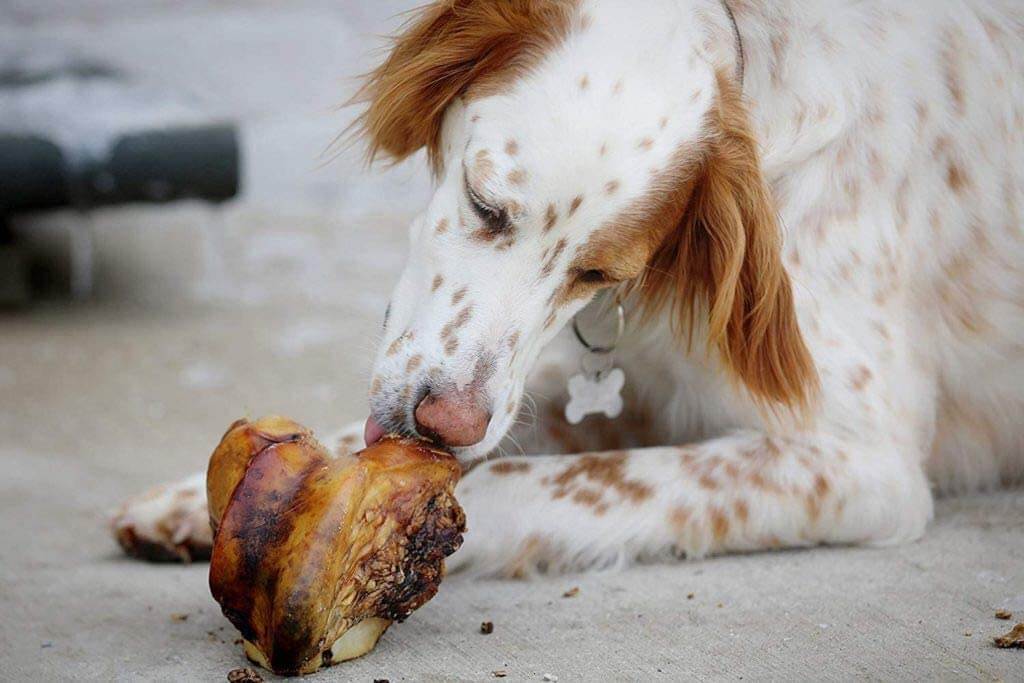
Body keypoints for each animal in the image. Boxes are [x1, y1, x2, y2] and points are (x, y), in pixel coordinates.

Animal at [114, 1, 1024, 577]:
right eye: (484, 202)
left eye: (599, 273)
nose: (448, 423)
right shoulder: (618, 384)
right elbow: (351, 442)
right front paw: (203, 500)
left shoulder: (866, 462)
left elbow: (523, 480)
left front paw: (400, 528)